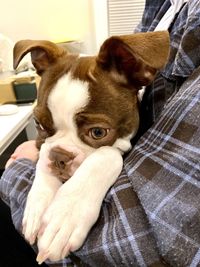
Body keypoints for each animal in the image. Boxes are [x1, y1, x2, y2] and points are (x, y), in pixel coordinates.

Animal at [13, 31, 169, 264]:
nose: (59, 156)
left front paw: (64, 217)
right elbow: (42, 156)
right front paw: (37, 205)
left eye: (98, 133)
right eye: (38, 124)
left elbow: (106, 155)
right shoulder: (43, 146)